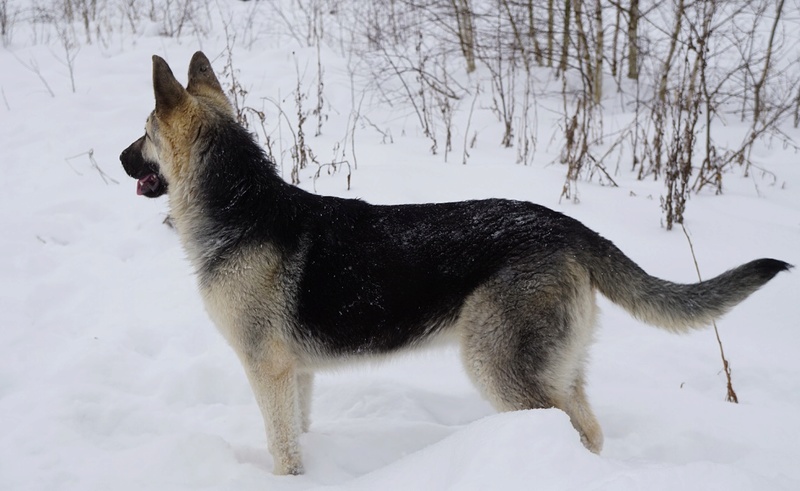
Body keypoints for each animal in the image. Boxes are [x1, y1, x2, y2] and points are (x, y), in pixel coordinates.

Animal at [122, 51, 792, 476]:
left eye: (145, 132)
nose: (119, 157)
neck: (239, 205)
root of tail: (570, 227)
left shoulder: (268, 370)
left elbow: (283, 448)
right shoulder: (296, 374)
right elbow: (301, 431)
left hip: (496, 365)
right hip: (555, 367)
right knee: (591, 430)